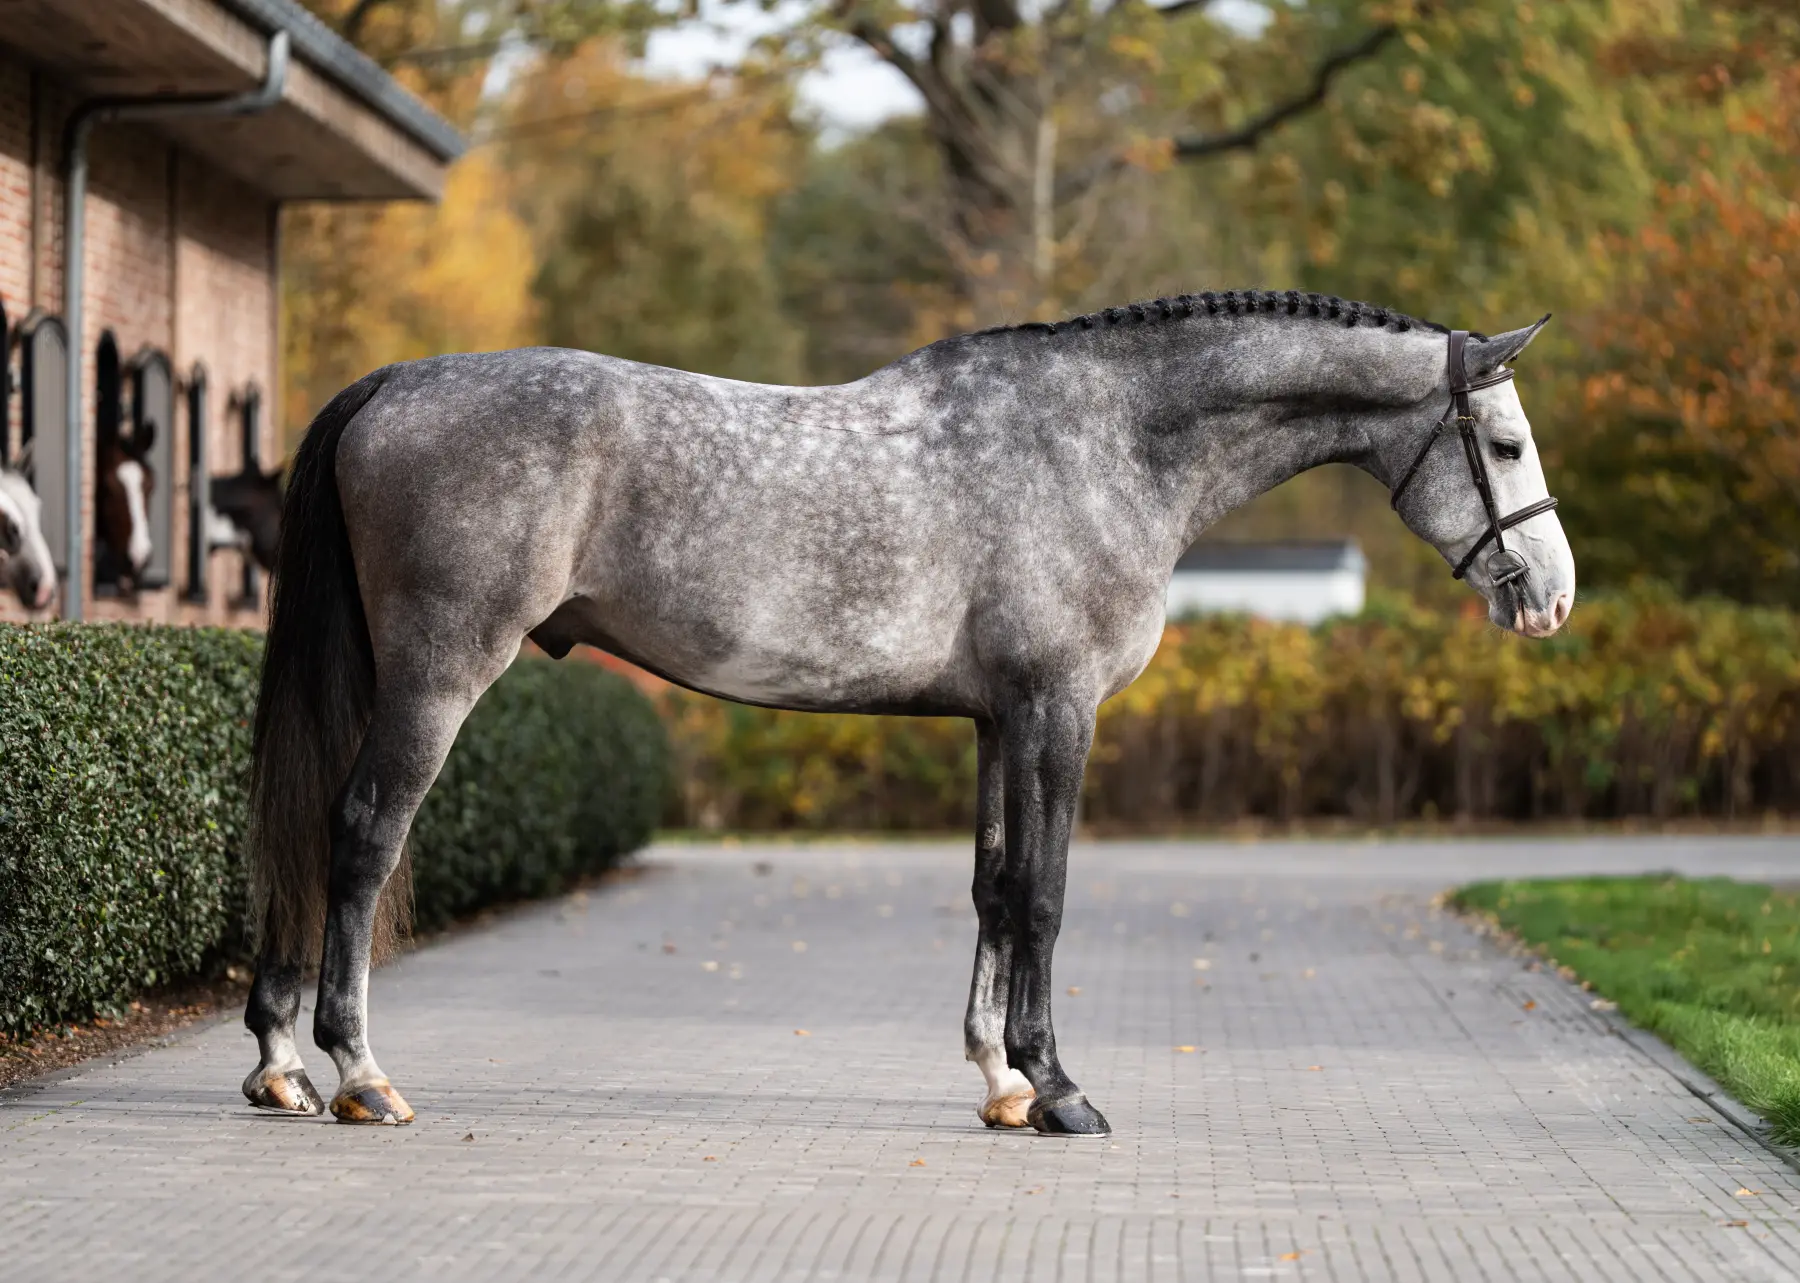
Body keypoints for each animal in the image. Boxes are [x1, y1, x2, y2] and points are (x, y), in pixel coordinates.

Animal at [242, 290, 1575, 1132]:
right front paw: (1061, 1088)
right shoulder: (1057, 710)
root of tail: (399, 382)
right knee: (362, 833)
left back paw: (279, 1063)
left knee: (307, 829)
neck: (1106, 446)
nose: (1552, 596)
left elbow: (992, 886)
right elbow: (1044, 893)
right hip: (440, 672)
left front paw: (1000, 1084)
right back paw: (359, 1073)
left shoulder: (996, 720)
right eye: (1507, 444)